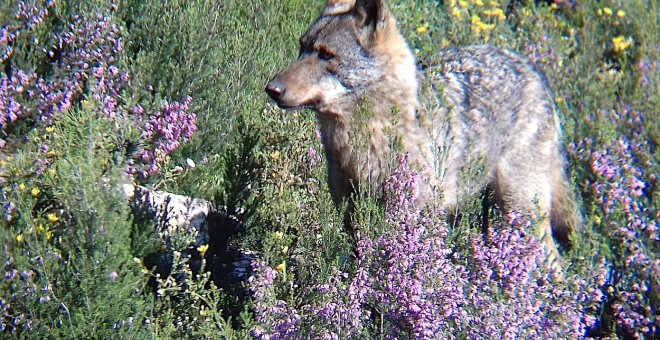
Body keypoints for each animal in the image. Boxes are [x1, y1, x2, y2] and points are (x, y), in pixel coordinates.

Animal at [266, 0, 580, 266]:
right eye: (302, 48)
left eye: (326, 54)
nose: (271, 89)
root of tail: (532, 67)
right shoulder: (352, 214)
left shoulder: (416, 214)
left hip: (521, 209)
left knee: (554, 262)